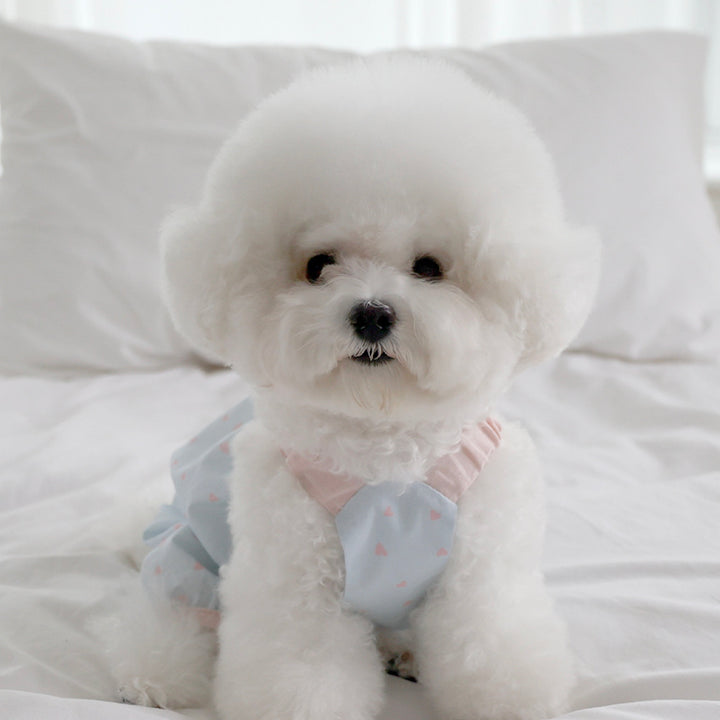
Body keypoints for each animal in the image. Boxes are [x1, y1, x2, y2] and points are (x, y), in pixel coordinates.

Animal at [110, 57, 600, 720]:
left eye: (429, 267)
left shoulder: (481, 574)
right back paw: (151, 675)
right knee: (166, 613)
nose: (371, 314)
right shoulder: (296, 584)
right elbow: (302, 668)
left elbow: (489, 642)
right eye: (319, 265)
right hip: (187, 557)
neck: (385, 451)